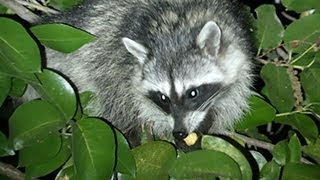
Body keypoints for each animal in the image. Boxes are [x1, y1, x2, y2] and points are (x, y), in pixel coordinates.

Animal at [42, 0, 254, 147]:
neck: (174, 28)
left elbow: (230, 98)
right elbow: (125, 110)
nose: (179, 133)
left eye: (193, 93)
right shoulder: (116, 67)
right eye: (163, 98)